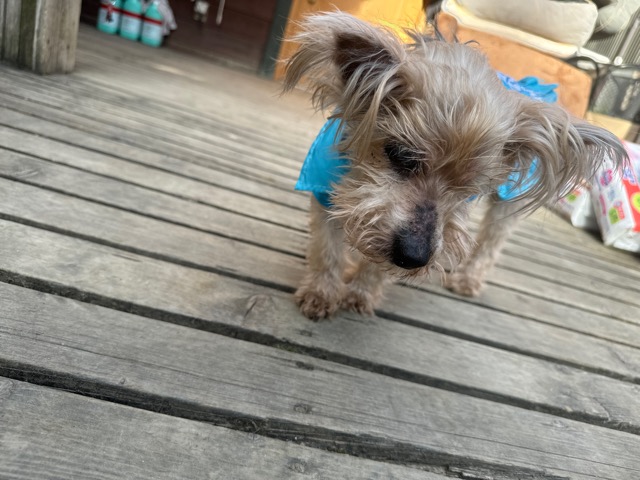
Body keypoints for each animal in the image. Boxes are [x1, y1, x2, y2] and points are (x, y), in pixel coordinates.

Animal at [283, 12, 627, 320]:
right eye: (400, 155)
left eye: (470, 190)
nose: (413, 257)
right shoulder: (322, 188)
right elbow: (327, 249)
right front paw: (321, 292)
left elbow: (377, 267)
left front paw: (360, 292)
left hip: (509, 201)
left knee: (492, 241)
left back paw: (468, 278)